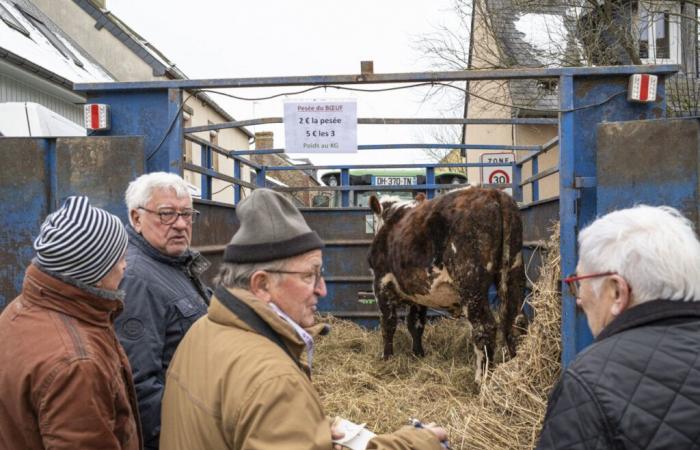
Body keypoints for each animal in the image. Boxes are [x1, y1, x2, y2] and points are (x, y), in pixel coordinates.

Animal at [370, 186, 524, 384]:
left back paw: (481, 379)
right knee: (515, 321)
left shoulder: (381, 283)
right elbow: (416, 324)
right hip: (513, 272)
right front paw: (418, 354)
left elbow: (388, 324)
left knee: (484, 328)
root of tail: (494, 192)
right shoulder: (419, 293)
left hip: (470, 285)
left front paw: (387, 357)